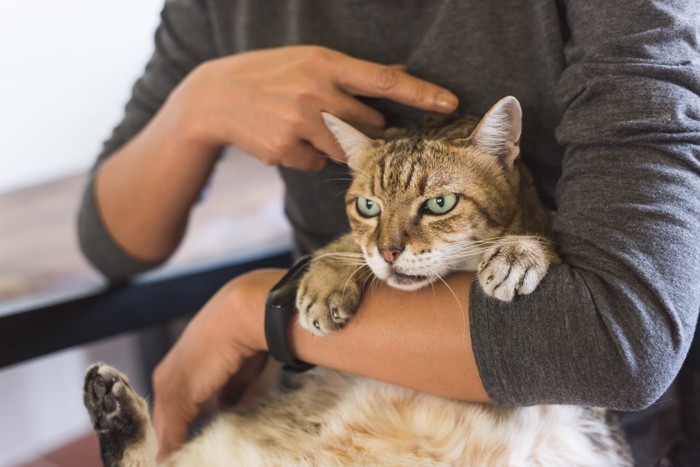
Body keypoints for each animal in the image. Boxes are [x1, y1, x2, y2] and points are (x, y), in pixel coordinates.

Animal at [85, 97, 632, 466]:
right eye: (369, 206)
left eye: (439, 204)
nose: (390, 251)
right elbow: (344, 243)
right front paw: (328, 278)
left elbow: (548, 238)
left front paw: (519, 251)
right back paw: (115, 412)